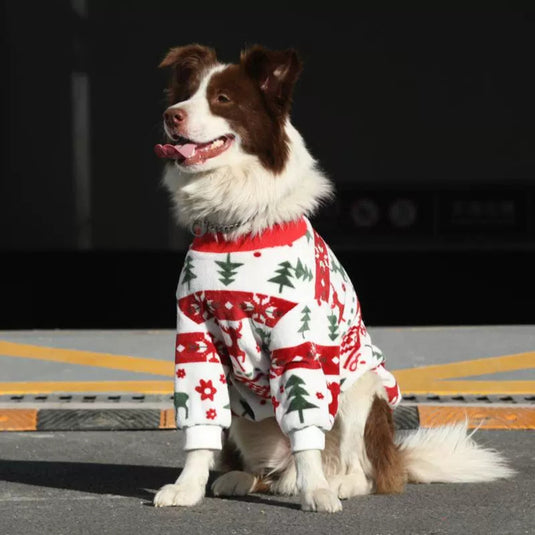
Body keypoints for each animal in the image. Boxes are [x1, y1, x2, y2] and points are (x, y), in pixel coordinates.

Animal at [153, 44, 512, 512]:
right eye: (185, 94)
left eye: (223, 100)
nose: (171, 116)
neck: (235, 227)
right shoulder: (196, 335)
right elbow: (200, 427)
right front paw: (187, 487)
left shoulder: (297, 337)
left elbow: (306, 425)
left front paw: (318, 493)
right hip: (247, 418)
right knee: (265, 468)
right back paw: (243, 478)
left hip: (362, 389)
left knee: (358, 468)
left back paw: (335, 482)